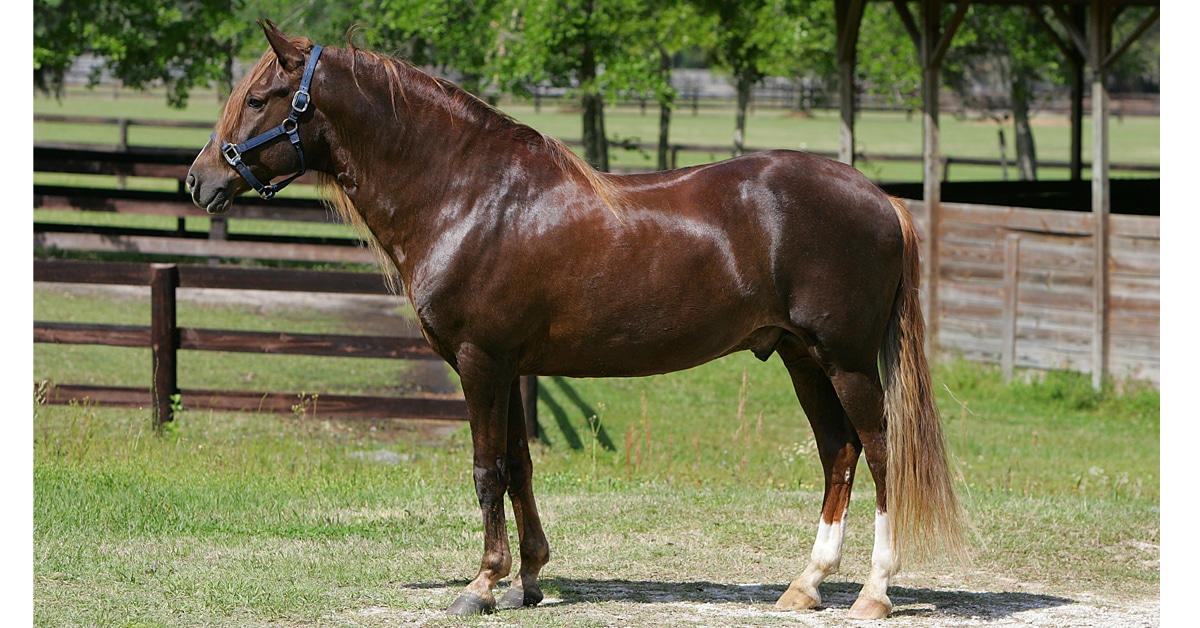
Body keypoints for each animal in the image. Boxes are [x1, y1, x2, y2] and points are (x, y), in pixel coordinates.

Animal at [192, 19, 969, 619]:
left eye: (258, 97)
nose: (200, 180)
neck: (468, 194)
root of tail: (880, 197)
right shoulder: (509, 367)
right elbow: (520, 464)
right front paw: (529, 579)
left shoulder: (480, 363)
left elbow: (486, 469)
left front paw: (481, 586)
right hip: (800, 356)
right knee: (837, 452)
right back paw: (804, 587)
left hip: (844, 360)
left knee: (880, 451)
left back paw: (873, 593)